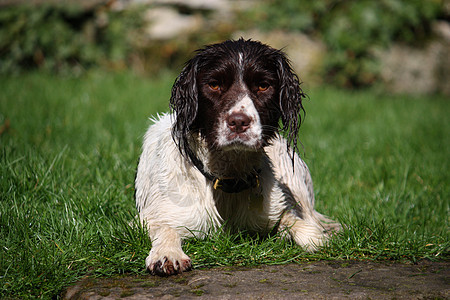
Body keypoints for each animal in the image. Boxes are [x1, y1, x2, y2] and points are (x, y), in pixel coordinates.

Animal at [135, 38, 340, 276]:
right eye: (214, 84)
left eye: (263, 85)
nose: (239, 122)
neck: (228, 180)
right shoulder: (152, 216)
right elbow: (166, 227)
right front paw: (167, 254)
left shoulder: (276, 209)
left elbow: (302, 228)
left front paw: (319, 237)